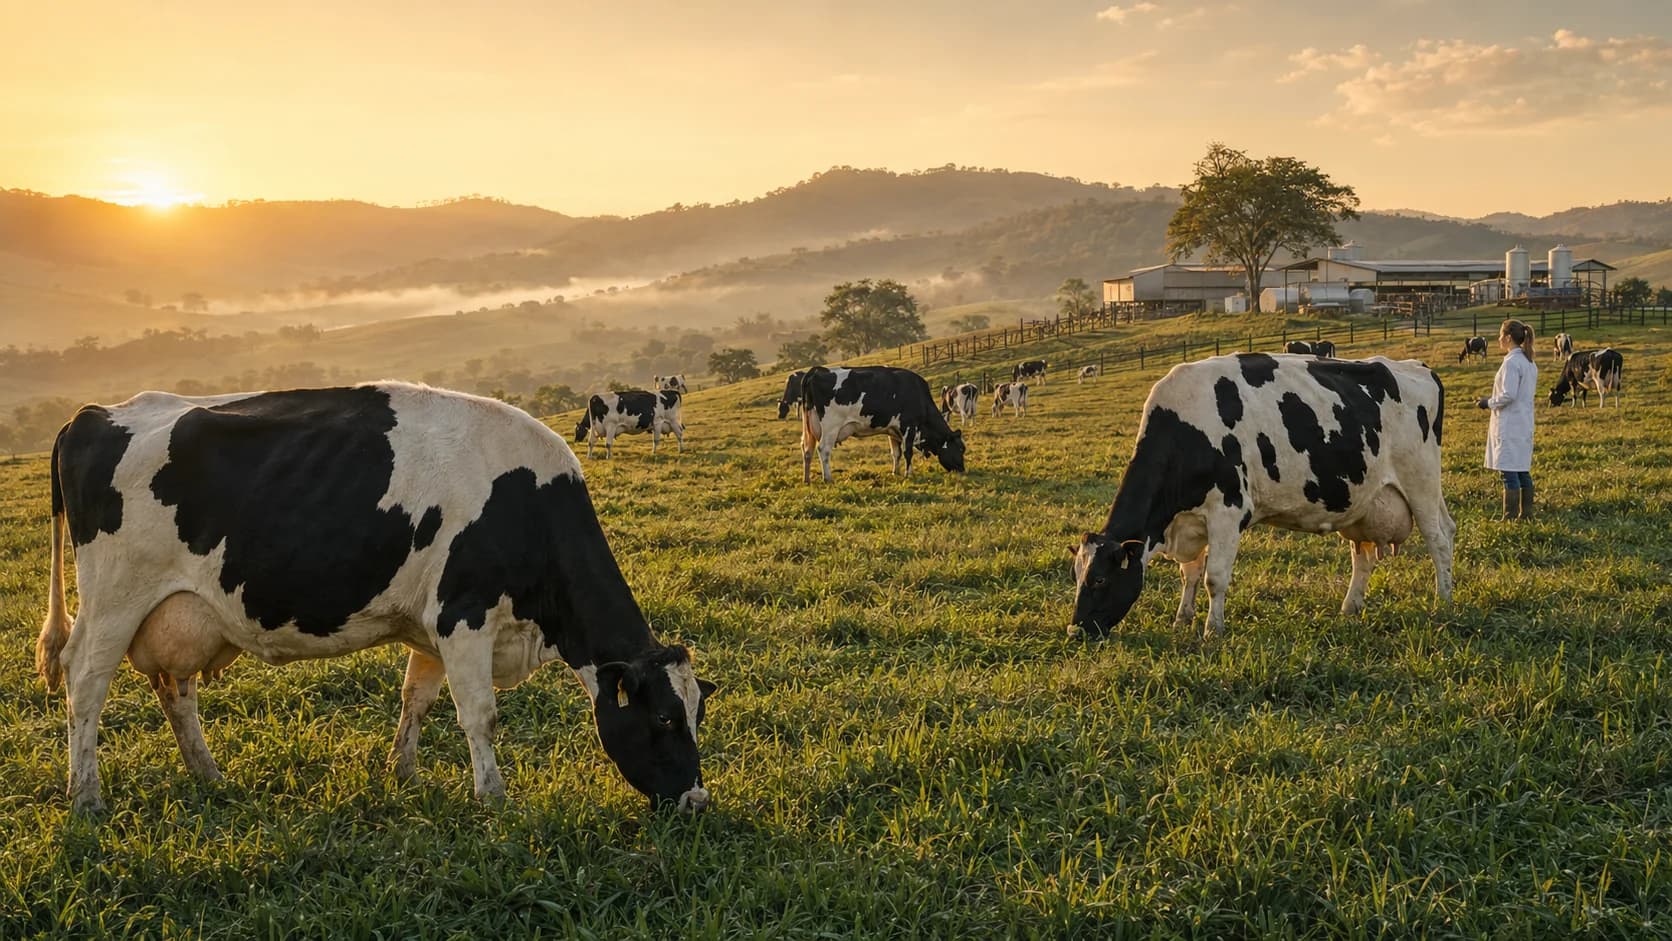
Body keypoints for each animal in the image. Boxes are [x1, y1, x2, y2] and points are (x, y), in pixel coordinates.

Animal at [34, 383, 716, 815]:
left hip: (177, 612)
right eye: (663, 718)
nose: (696, 801)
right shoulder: (463, 614)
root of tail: (91, 415)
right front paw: (493, 798)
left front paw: (403, 773)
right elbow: (480, 715)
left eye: (698, 714)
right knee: (84, 682)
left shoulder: (434, 626)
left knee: (175, 688)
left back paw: (209, 775)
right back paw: (86, 796)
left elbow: (417, 698)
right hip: (115, 598)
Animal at [800, 366, 965, 483]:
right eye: (960, 449)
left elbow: (896, 453)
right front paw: (908, 474)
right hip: (831, 427)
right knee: (824, 450)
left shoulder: (894, 430)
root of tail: (817, 370)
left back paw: (807, 479)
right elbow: (908, 452)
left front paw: (895, 472)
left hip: (809, 426)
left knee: (807, 450)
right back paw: (827, 478)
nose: (963, 470)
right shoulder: (909, 426)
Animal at [1070, 353, 1455, 641]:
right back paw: (1350, 607)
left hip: (1420, 481)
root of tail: (1416, 366)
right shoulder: (1190, 520)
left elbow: (1214, 577)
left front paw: (1212, 630)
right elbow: (1190, 573)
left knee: (1438, 539)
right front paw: (1182, 619)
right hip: (1364, 502)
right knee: (1365, 555)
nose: (1075, 631)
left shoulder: (1227, 511)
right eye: (1076, 576)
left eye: (1100, 579)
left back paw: (1443, 600)